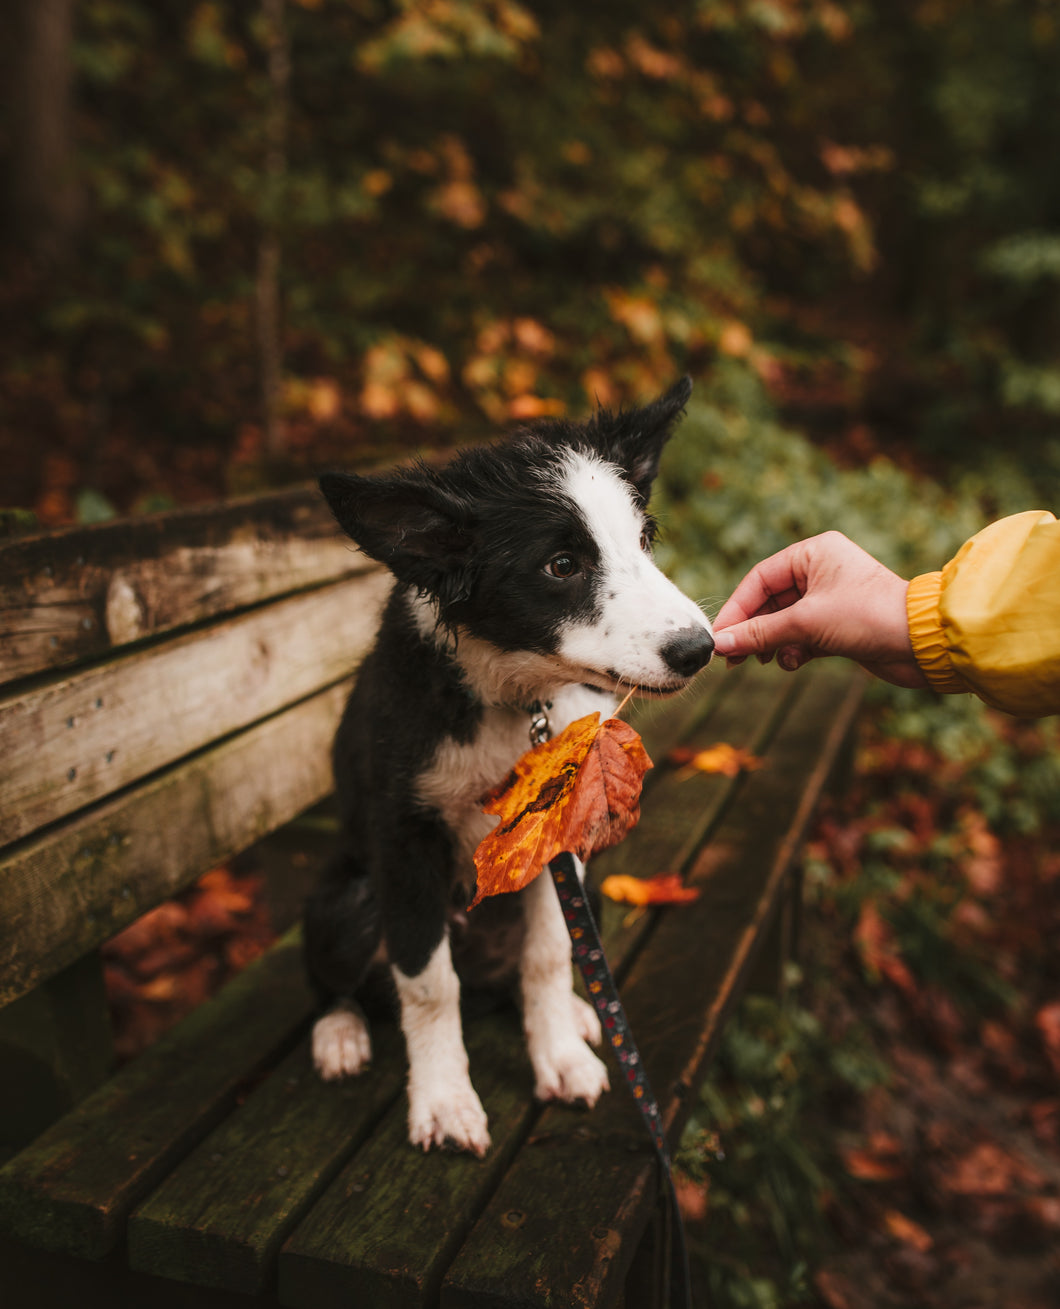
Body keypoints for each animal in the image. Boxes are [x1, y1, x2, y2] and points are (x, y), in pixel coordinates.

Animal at [307, 376, 717, 1157]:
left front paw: (559, 1057)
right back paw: (340, 1033)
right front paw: (443, 1101)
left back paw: (581, 1018)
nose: (698, 649)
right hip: (347, 897)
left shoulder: (561, 834)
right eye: (562, 565)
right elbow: (427, 982)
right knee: (335, 978)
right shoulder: (405, 840)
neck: (514, 699)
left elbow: (551, 952)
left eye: (644, 539)